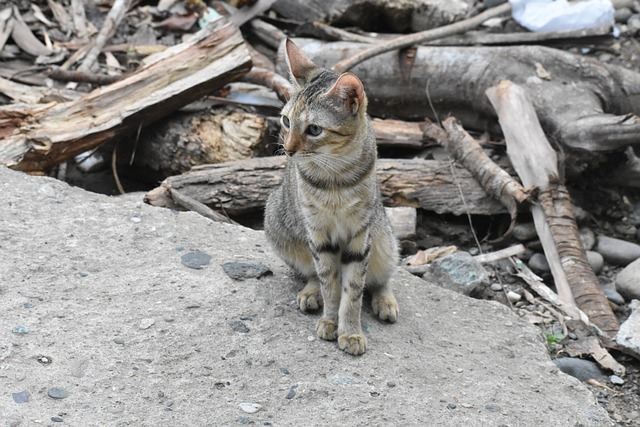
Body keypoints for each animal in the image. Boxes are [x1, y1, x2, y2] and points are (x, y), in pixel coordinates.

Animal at [262, 40, 398, 356]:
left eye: (314, 129)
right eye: (286, 120)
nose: (288, 150)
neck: (334, 175)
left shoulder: (360, 236)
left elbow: (353, 290)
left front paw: (350, 331)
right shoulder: (318, 234)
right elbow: (330, 284)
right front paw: (330, 320)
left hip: (384, 240)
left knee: (381, 277)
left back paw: (385, 300)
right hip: (278, 224)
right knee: (313, 274)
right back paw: (311, 293)